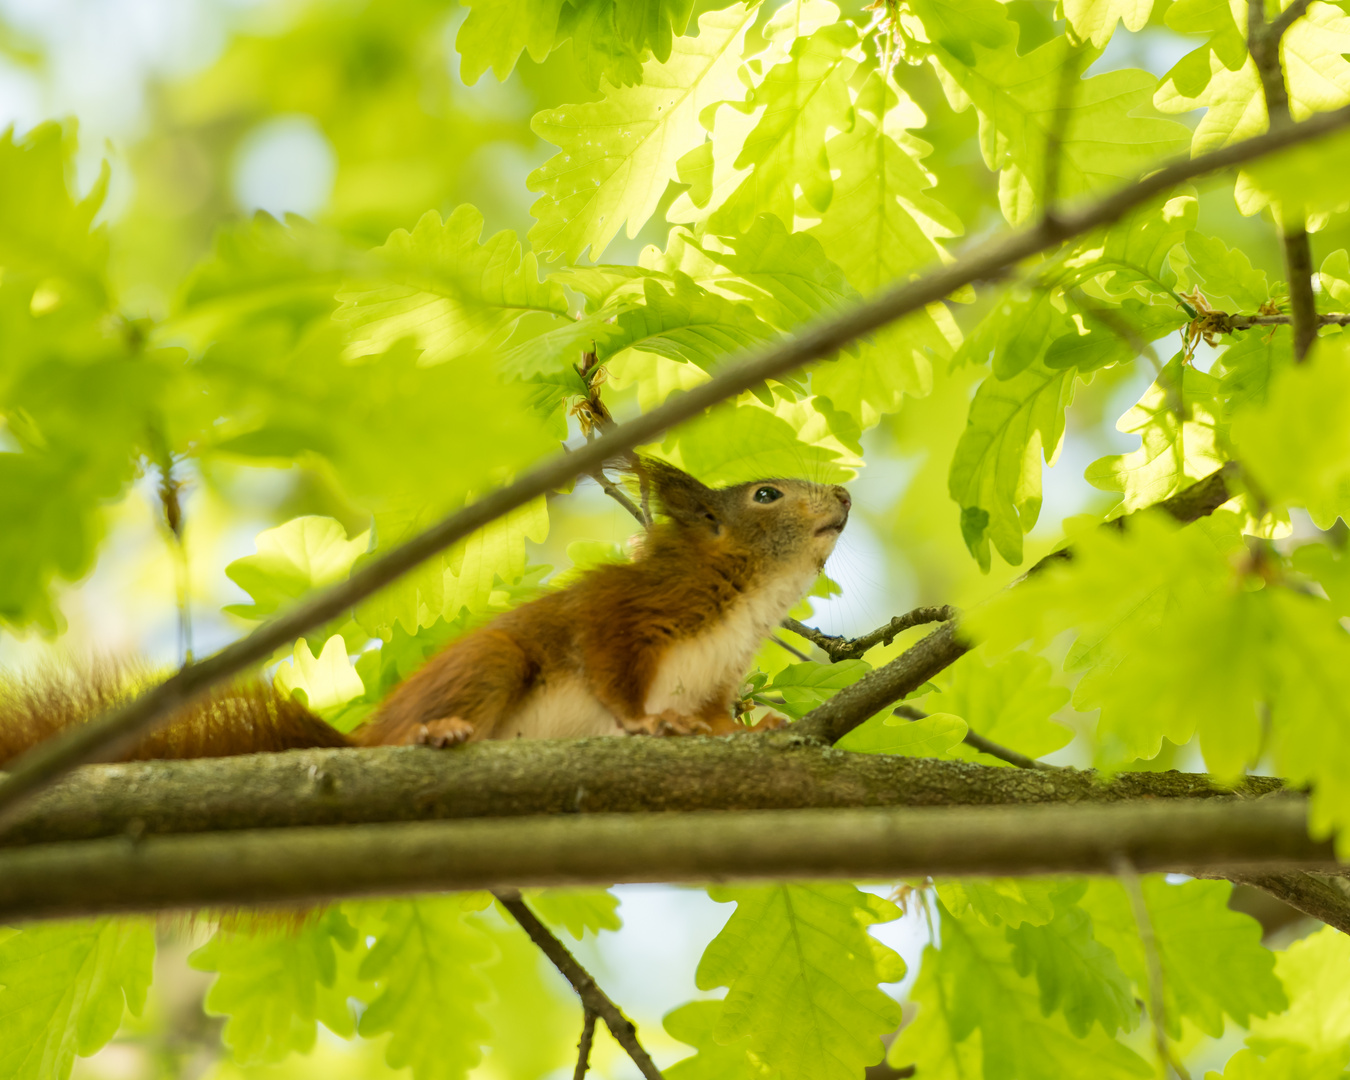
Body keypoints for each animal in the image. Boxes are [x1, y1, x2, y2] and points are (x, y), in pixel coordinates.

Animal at [0, 459, 842, 761]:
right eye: (766, 494)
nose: (841, 493)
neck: (750, 600)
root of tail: (357, 741)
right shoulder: (626, 611)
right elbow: (607, 666)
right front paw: (643, 722)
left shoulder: (713, 682)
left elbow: (718, 721)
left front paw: (759, 727)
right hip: (488, 664)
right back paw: (434, 732)